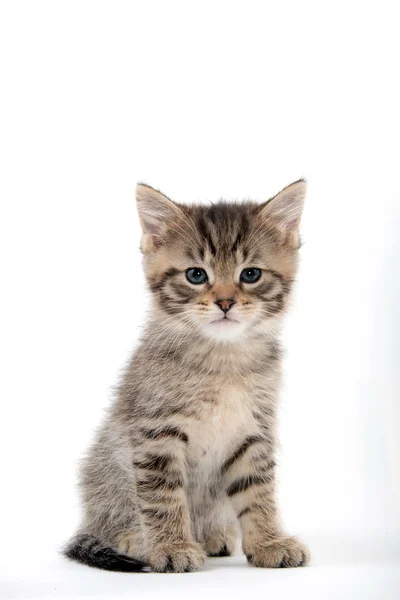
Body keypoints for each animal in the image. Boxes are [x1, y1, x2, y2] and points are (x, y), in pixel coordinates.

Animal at [65, 182, 310, 572]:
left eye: (250, 274)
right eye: (196, 275)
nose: (225, 302)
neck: (223, 359)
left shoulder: (253, 431)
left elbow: (257, 491)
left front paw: (269, 542)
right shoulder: (155, 433)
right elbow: (163, 495)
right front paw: (172, 546)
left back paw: (211, 535)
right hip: (106, 469)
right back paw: (135, 539)